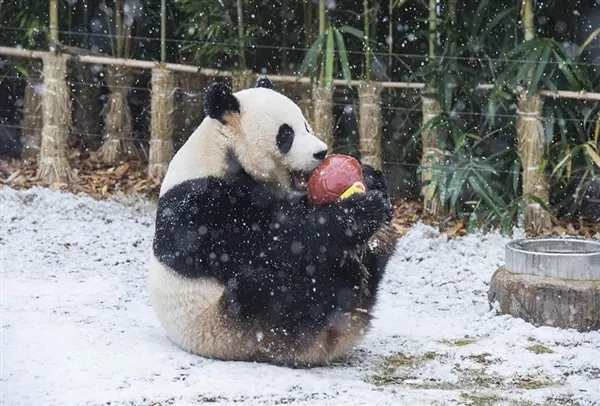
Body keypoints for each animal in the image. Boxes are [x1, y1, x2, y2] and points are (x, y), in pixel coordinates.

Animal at [148, 77, 396, 368]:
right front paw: (356, 212)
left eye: (307, 125)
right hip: (233, 323)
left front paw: (371, 181)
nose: (321, 152)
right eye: (286, 134)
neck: (222, 149)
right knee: (275, 288)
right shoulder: (200, 207)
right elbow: (274, 240)